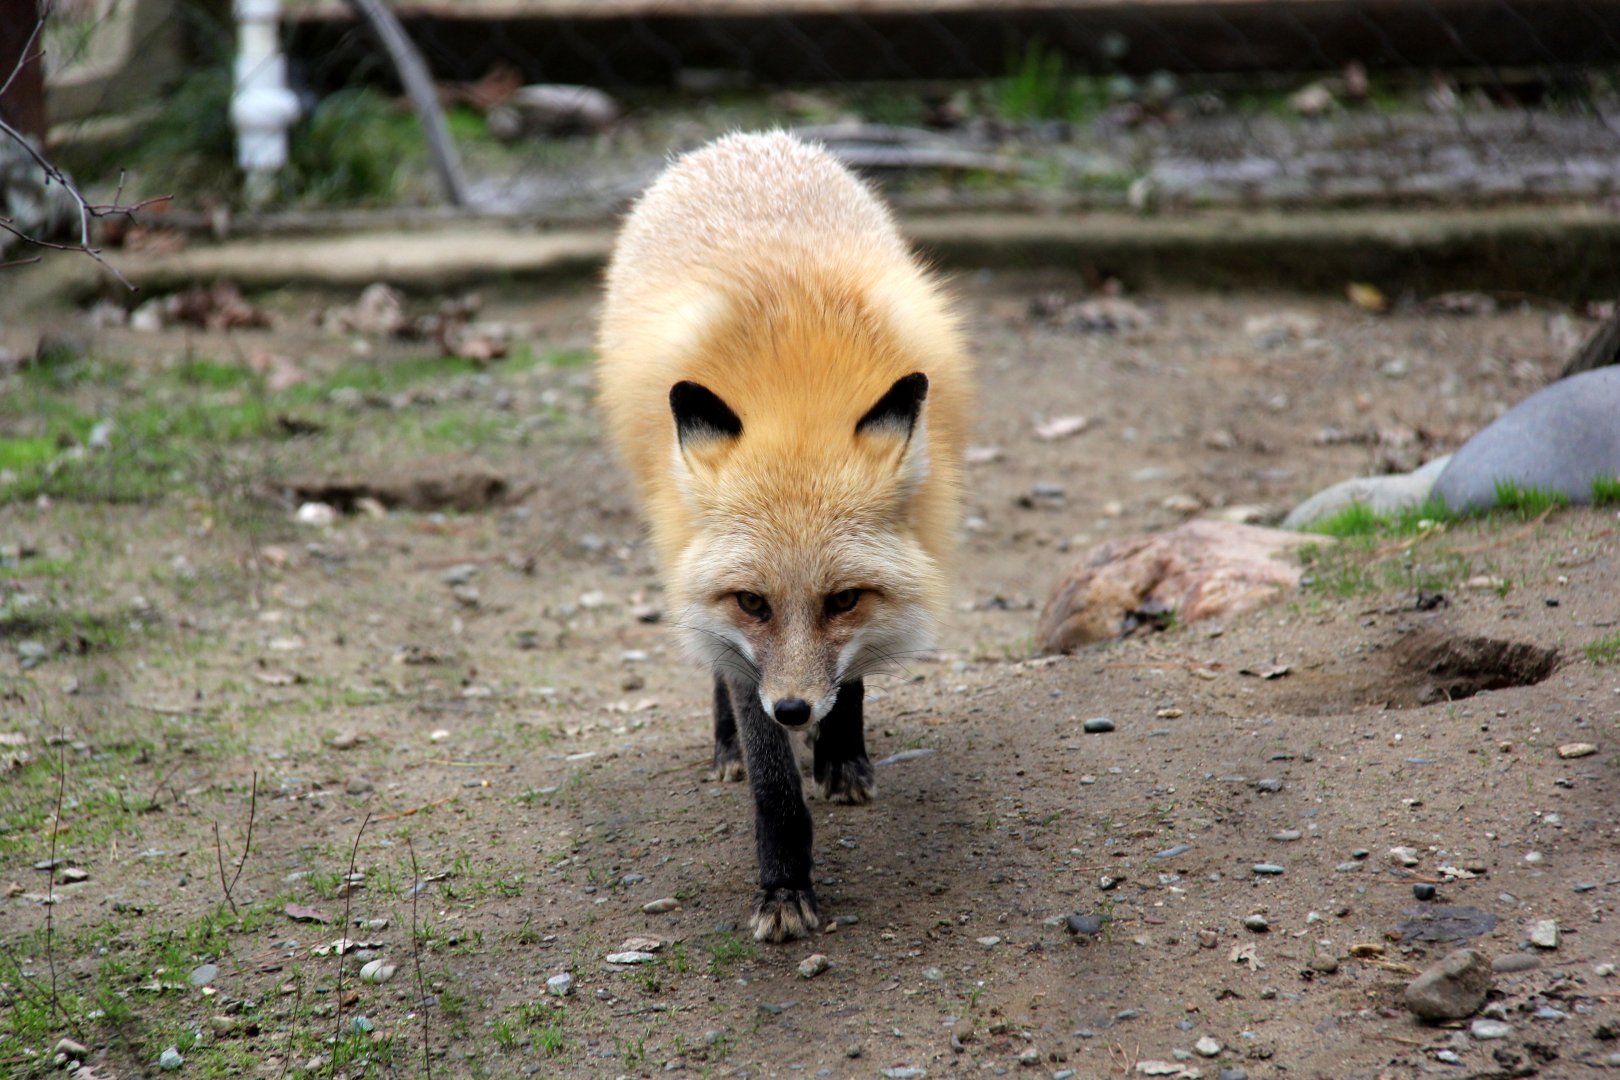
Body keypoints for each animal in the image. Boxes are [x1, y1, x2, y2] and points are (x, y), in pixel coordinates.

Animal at [596, 131, 971, 942]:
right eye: (752, 603)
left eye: (843, 601)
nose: (795, 712)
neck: (797, 392)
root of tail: (747, 140)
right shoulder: (740, 645)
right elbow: (772, 781)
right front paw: (784, 885)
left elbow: (850, 674)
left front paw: (840, 754)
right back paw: (725, 743)